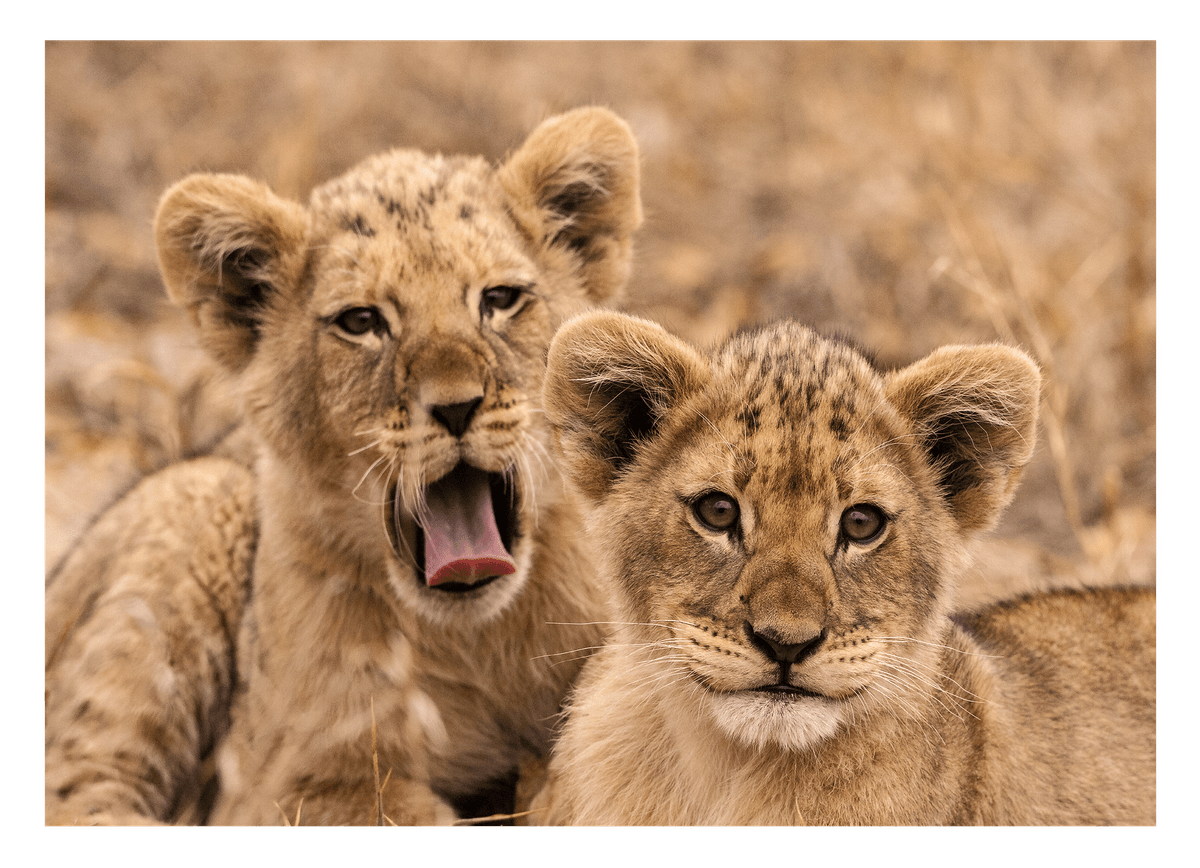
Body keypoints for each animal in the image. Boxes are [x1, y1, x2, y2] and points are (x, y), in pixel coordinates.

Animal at [43, 107, 641, 826]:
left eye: (500, 299)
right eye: (361, 322)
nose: (457, 407)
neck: (478, 642)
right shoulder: (282, 783)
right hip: (196, 496)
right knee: (75, 784)